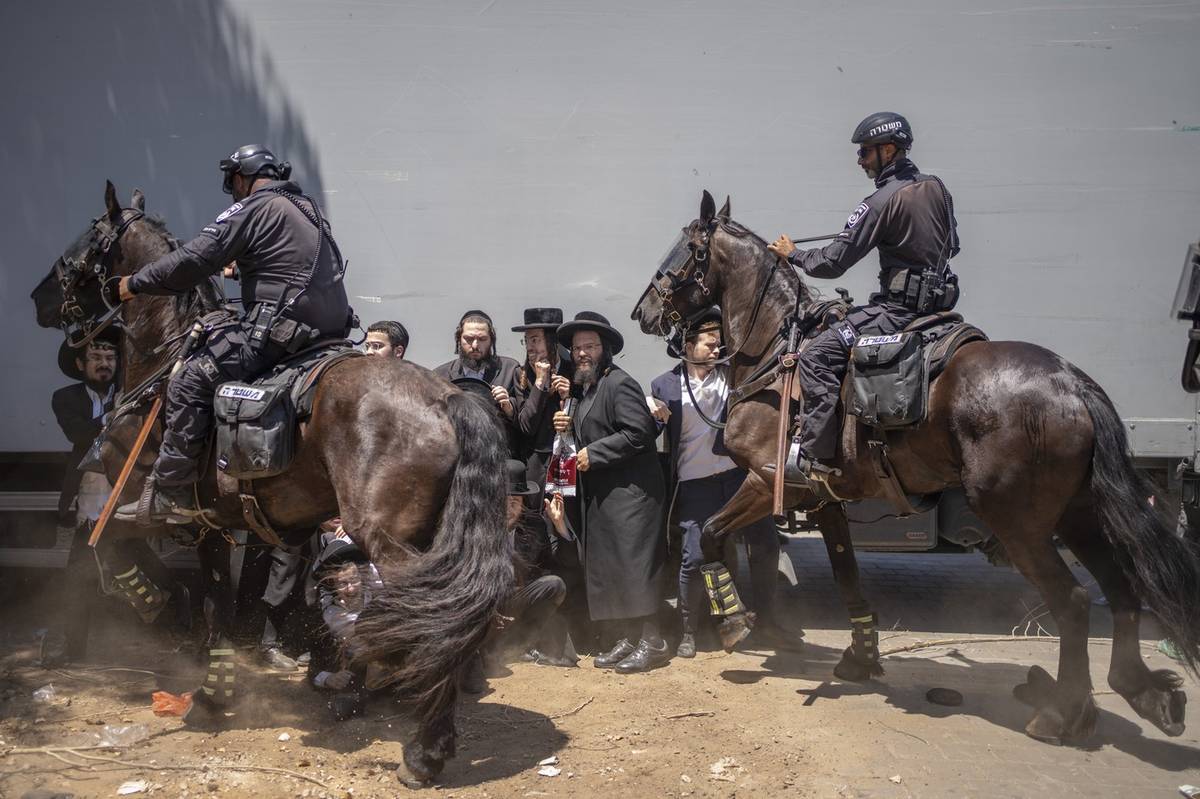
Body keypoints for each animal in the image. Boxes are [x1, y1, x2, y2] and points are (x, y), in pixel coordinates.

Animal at [628, 189, 1200, 743]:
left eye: (684, 250)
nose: (642, 312)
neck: (776, 349)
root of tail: (1070, 381)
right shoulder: (825, 497)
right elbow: (847, 576)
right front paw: (860, 655)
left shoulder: (768, 478)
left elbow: (710, 535)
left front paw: (732, 622)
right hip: (1078, 513)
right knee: (1122, 587)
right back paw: (1142, 692)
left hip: (1019, 523)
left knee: (1076, 600)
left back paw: (1063, 713)